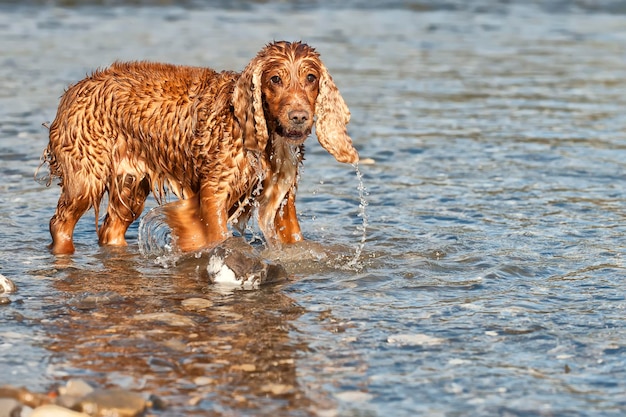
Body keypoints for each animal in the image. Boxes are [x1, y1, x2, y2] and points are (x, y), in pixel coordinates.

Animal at [40, 40, 356, 254]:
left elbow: (293, 236)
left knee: (111, 229)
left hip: (130, 183)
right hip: (86, 177)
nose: (299, 116)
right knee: (60, 224)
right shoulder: (215, 189)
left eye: (311, 78)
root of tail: (75, 88)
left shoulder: (282, 198)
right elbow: (215, 234)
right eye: (275, 78)